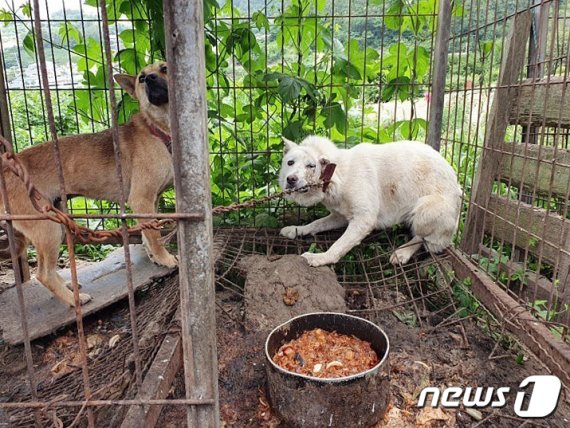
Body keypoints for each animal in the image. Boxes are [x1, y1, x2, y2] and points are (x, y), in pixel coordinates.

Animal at [1, 61, 176, 306]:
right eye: (141, 77)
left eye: (164, 68)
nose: (149, 79)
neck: (159, 129)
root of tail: (7, 169)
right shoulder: (141, 200)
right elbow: (154, 234)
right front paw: (164, 258)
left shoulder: (152, 201)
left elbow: (147, 233)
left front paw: (153, 256)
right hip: (47, 228)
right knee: (43, 274)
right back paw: (74, 299)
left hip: (57, 219)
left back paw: (68, 286)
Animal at [278, 135, 460, 266]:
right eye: (290, 162)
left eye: (311, 166)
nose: (291, 179)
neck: (339, 174)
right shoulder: (339, 217)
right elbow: (315, 224)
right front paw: (296, 230)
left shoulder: (364, 219)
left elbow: (338, 245)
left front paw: (320, 258)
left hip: (425, 210)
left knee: (425, 239)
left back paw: (402, 252)